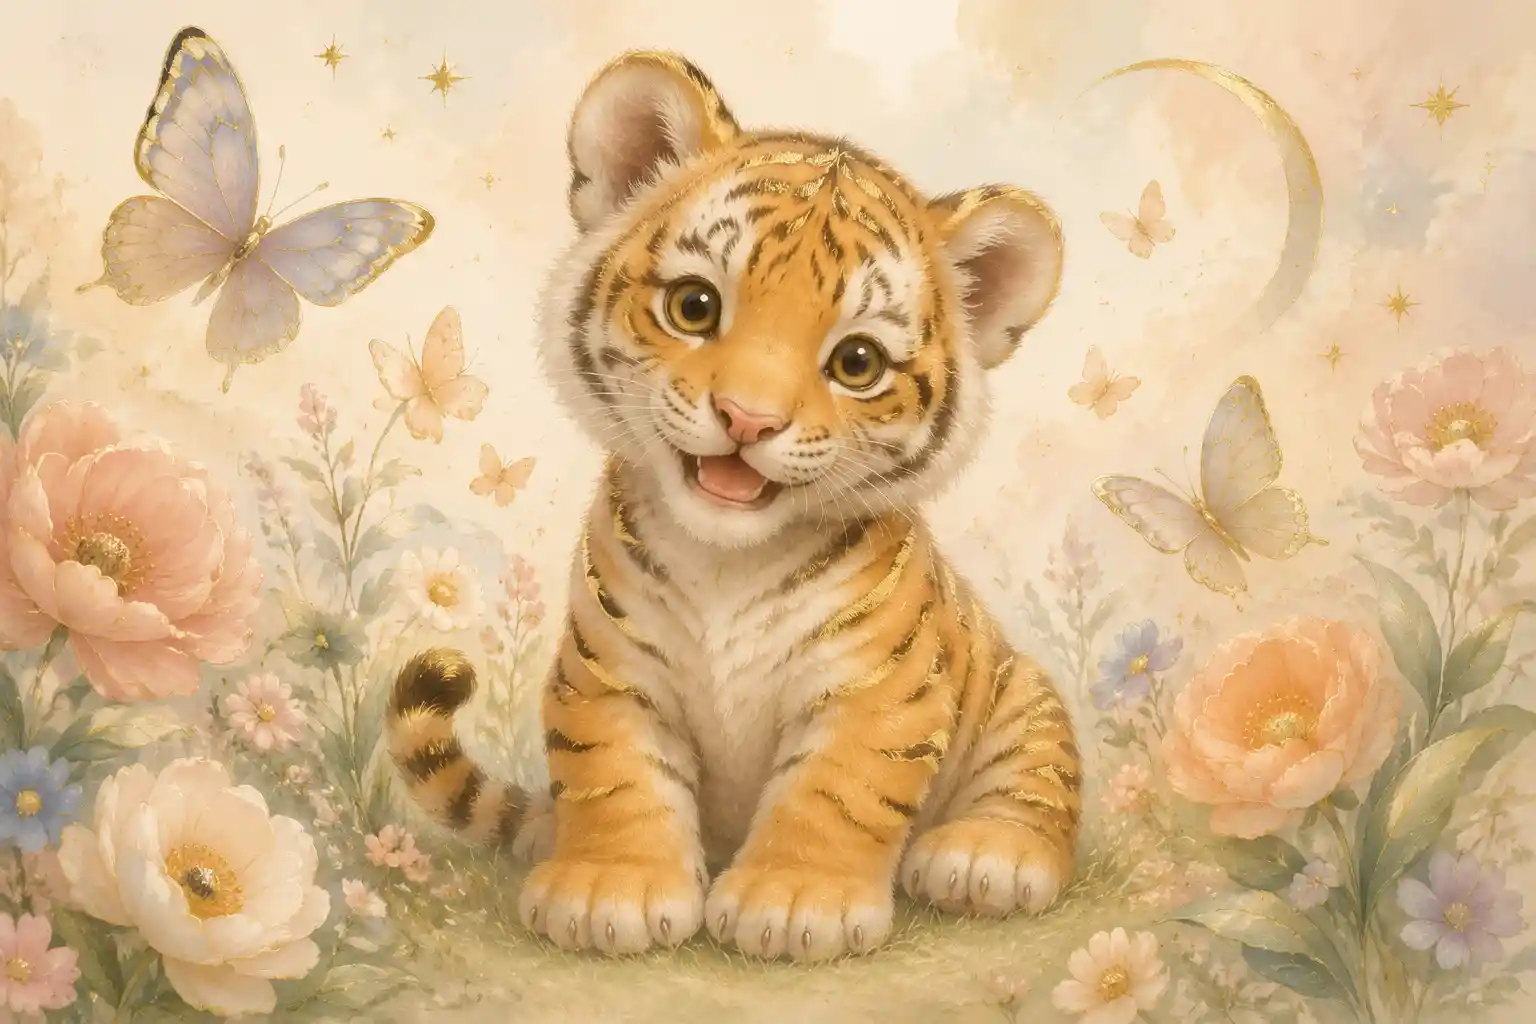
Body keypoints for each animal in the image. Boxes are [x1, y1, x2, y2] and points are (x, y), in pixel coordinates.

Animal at [385, 50, 1081, 963]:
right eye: (695, 306)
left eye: (857, 362)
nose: (748, 419)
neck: (727, 558)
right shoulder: (608, 668)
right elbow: (612, 774)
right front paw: (609, 889)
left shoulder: (878, 690)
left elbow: (838, 789)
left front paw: (793, 902)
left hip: (1020, 696)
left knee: (1038, 782)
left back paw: (984, 856)